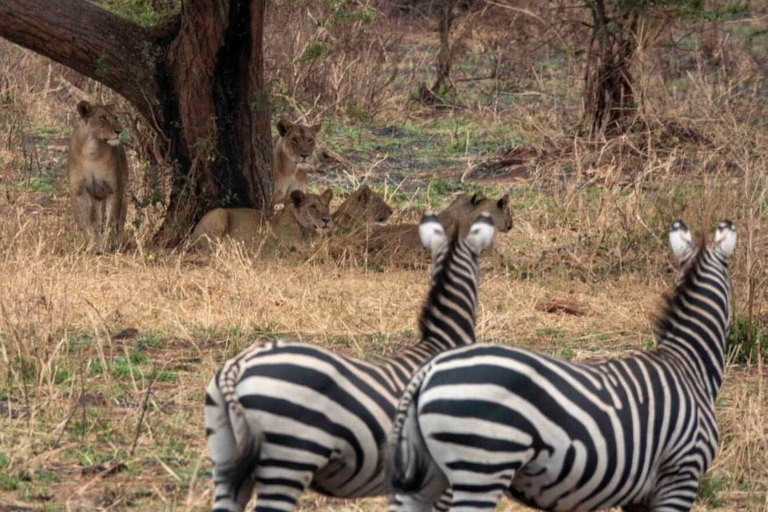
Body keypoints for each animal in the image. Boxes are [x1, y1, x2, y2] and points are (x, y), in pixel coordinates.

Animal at [69, 99, 130, 253]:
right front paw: (92, 246)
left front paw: (107, 245)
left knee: (117, 221)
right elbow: (88, 221)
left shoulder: (114, 189)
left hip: (122, 195)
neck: (92, 149)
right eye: (103, 118)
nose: (119, 131)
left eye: (116, 118)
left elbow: (111, 220)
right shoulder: (80, 191)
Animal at [390, 220, 736, 512]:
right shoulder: (681, 474)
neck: (688, 362)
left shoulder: (640, 494)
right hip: (482, 466)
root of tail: (427, 372)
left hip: (426, 475)